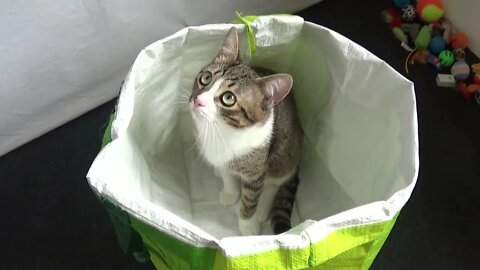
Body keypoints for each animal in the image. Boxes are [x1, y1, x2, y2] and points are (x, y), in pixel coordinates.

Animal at [189, 26, 302, 235]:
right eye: (206, 78)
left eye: (228, 98)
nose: (197, 100)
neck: (222, 131)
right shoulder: (219, 156)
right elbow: (226, 174)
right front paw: (230, 192)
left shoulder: (256, 170)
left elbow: (250, 198)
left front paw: (248, 224)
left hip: (285, 154)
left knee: (276, 181)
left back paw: (264, 208)